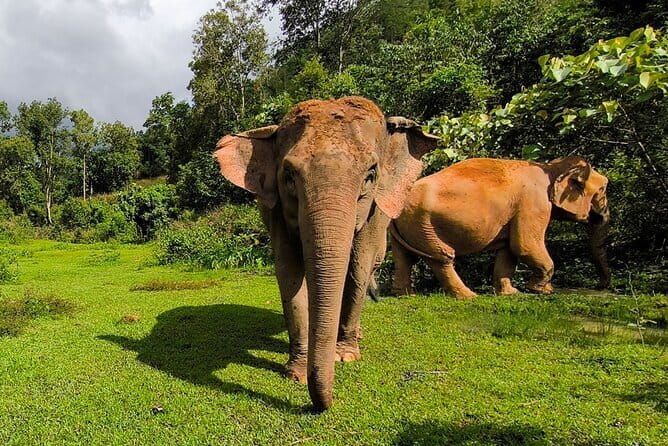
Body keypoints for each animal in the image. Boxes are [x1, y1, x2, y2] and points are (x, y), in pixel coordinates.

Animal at [213, 96, 439, 411]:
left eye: (370, 175)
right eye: (289, 176)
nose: (322, 405)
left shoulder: (374, 209)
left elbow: (358, 265)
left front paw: (345, 356)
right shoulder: (276, 209)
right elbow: (289, 272)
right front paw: (296, 373)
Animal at [390, 156, 610, 300]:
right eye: (603, 189)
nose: (600, 287)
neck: (551, 168)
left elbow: (509, 251)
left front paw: (512, 293)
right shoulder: (533, 203)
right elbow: (524, 246)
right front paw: (541, 291)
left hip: (411, 226)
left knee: (404, 258)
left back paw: (407, 295)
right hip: (424, 225)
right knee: (442, 258)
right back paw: (470, 296)